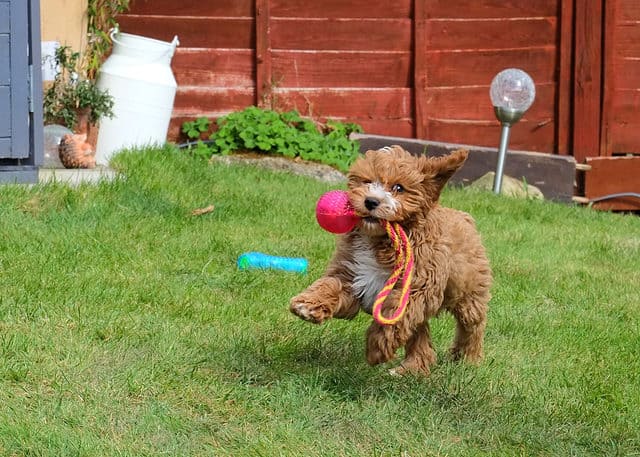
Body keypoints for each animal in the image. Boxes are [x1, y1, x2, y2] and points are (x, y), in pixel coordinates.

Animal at [290, 146, 490, 374]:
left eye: (398, 187)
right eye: (367, 181)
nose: (371, 201)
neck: (379, 240)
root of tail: (464, 216)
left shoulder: (416, 286)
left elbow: (394, 316)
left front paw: (376, 348)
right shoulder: (352, 272)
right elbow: (331, 285)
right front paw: (307, 305)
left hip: (469, 290)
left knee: (472, 324)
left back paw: (468, 358)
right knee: (420, 331)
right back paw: (413, 368)